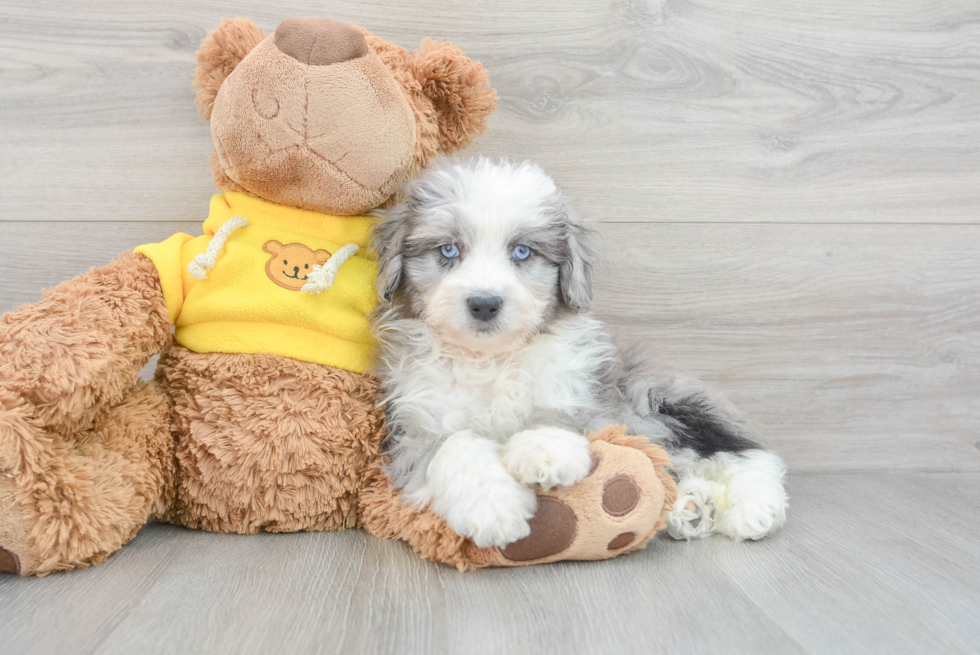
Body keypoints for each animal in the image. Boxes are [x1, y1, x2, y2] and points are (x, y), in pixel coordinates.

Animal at [370, 158, 788, 548]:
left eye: (522, 251)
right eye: (448, 249)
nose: (485, 303)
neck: (490, 359)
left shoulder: (590, 395)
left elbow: (558, 413)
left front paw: (544, 450)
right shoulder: (411, 429)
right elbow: (454, 444)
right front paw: (494, 507)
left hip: (655, 401)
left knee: (738, 453)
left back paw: (754, 507)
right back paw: (691, 508)